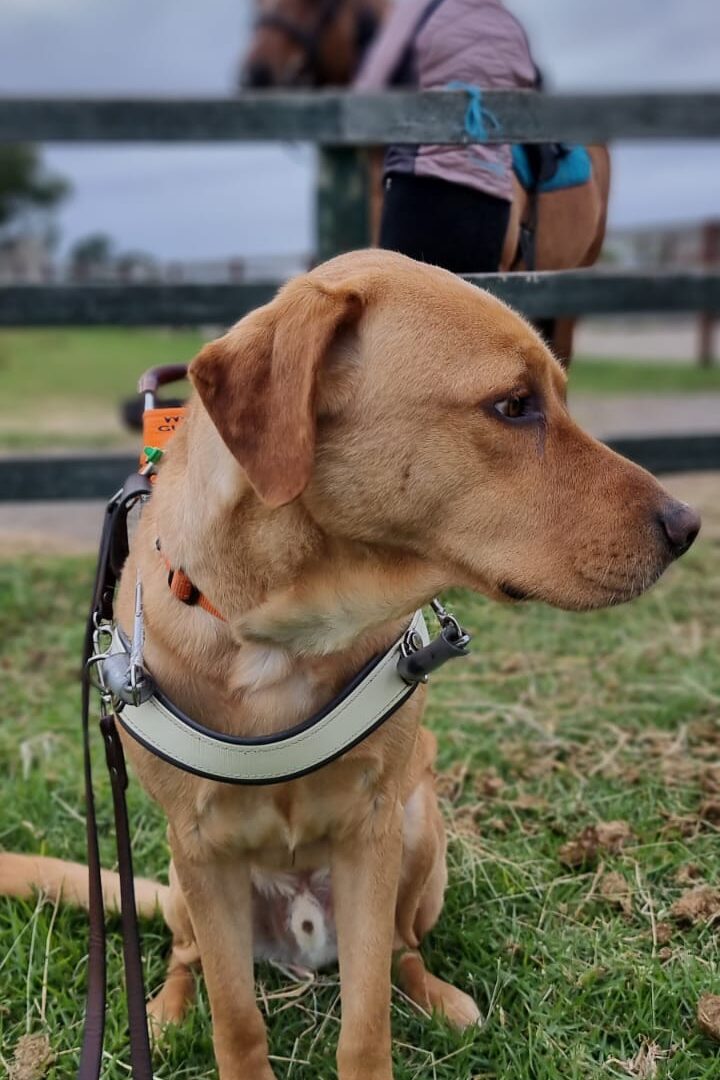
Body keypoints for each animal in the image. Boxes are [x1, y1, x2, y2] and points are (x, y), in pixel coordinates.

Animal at [0, 248, 699, 1075]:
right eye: (513, 405)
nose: (689, 525)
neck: (287, 630)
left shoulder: (371, 834)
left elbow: (366, 1017)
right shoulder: (201, 852)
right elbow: (236, 1016)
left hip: (417, 829)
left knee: (399, 948)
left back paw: (437, 997)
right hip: (177, 879)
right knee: (183, 954)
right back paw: (166, 1012)